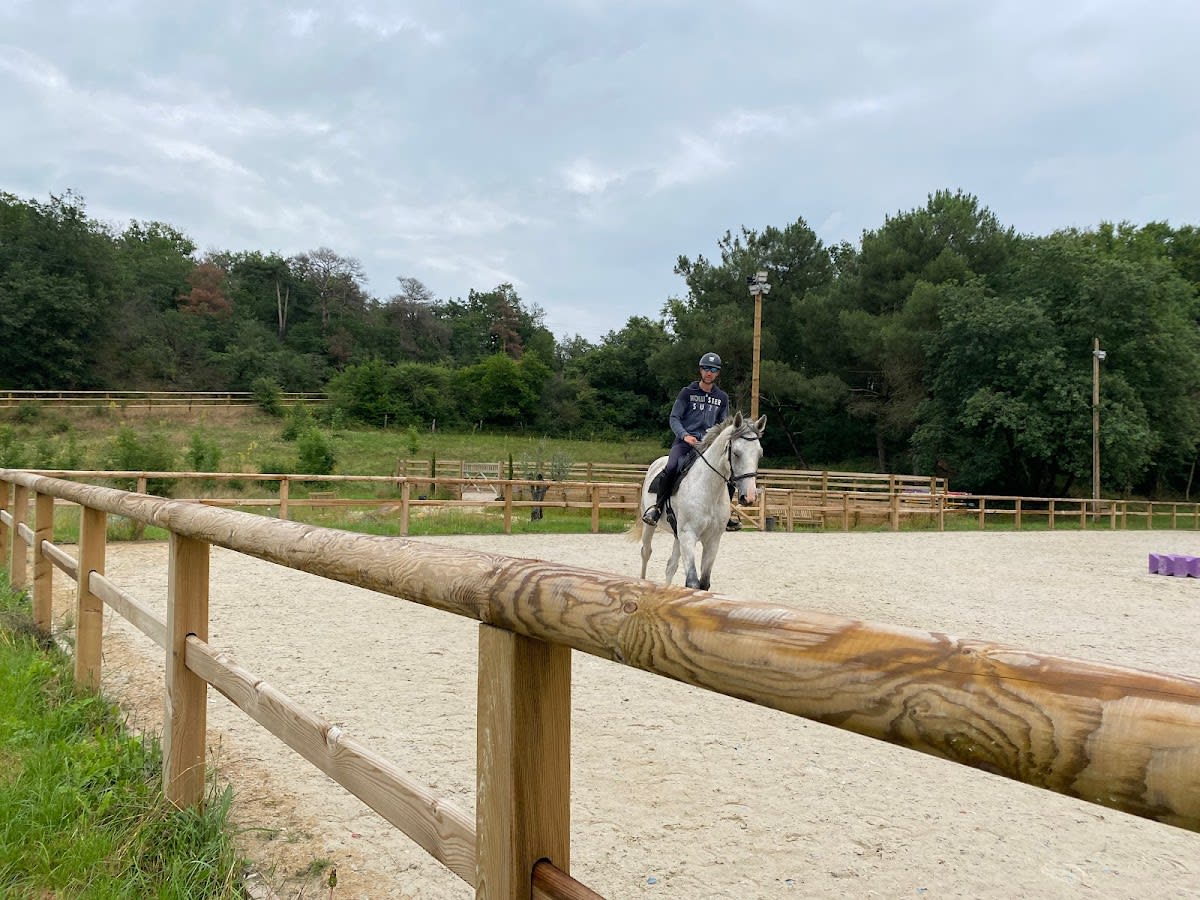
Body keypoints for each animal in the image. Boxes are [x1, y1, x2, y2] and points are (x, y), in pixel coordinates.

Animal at [632, 412, 767, 590]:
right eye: (736, 453)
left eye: (760, 454)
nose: (749, 497)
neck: (708, 490)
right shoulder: (689, 535)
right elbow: (692, 582)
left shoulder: (712, 540)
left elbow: (704, 583)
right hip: (651, 527)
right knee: (646, 553)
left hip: (677, 536)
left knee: (670, 566)